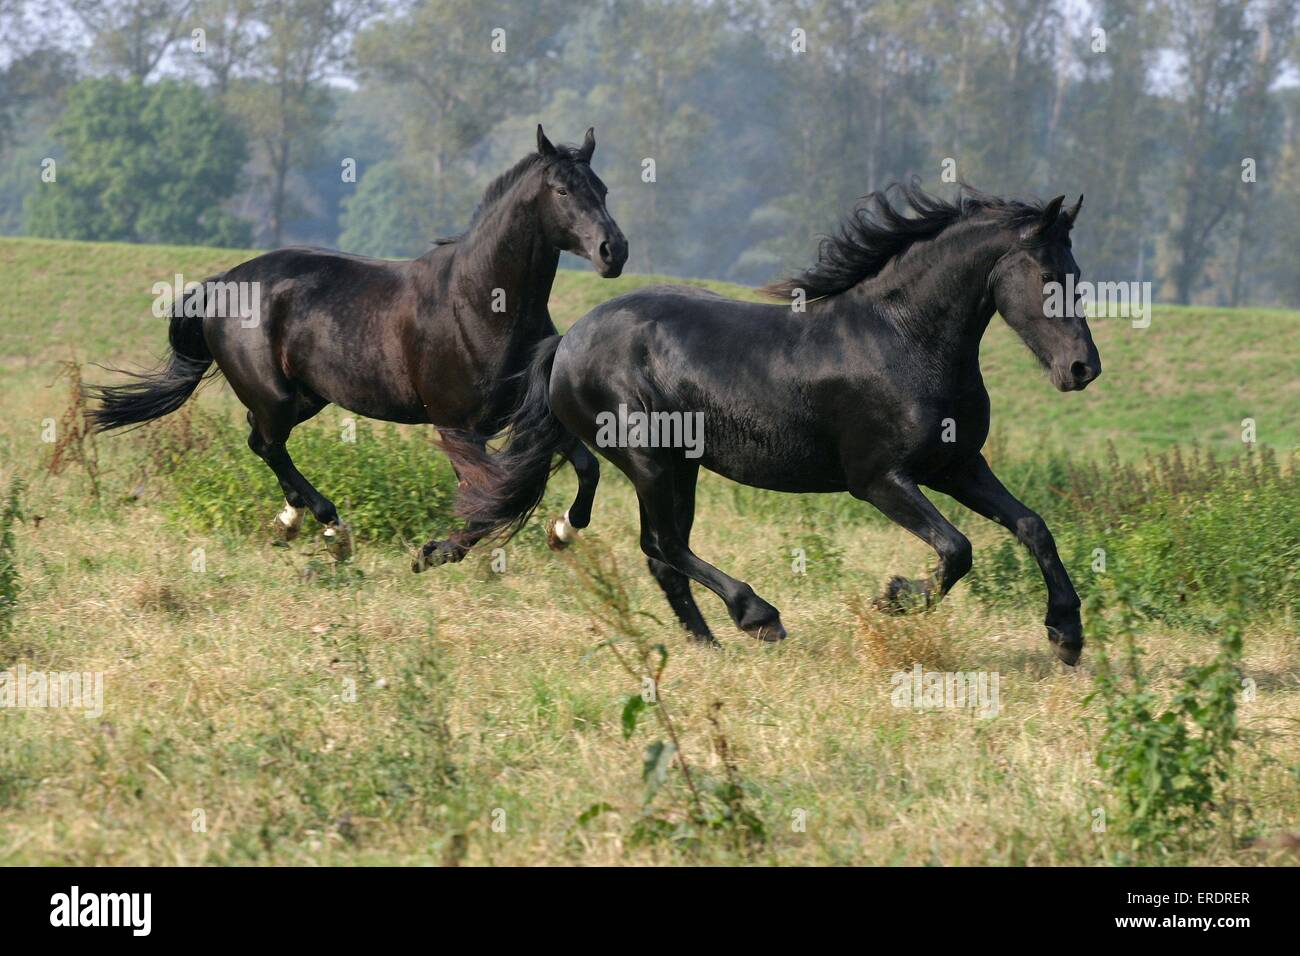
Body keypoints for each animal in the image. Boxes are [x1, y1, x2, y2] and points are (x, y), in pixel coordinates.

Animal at [87, 126, 627, 568]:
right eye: (562, 190)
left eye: (602, 189)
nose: (614, 251)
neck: (480, 304)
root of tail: (223, 283)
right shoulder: (457, 427)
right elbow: (488, 493)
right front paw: (435, 553)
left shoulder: (529, 412)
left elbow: (586, 468)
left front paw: (562, 531)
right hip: (276, 395)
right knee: (268, 443)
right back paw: (333, 528)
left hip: (306, 396)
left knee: (260, 440)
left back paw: (295, 522)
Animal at [442, 182, 1100, 664]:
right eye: (1048, 277)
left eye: (1079, 276)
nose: (1082, 369)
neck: (903, 339)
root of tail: (567, 342)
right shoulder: (880, 480)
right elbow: (958, 549)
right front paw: (893, 599)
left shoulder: (957, 465)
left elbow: (1033, 526)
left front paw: (1066, 633)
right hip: (650, 461)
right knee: (664, 545)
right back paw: (758, 617)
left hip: (681, 467)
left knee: (664, 554)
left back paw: (708, 645)